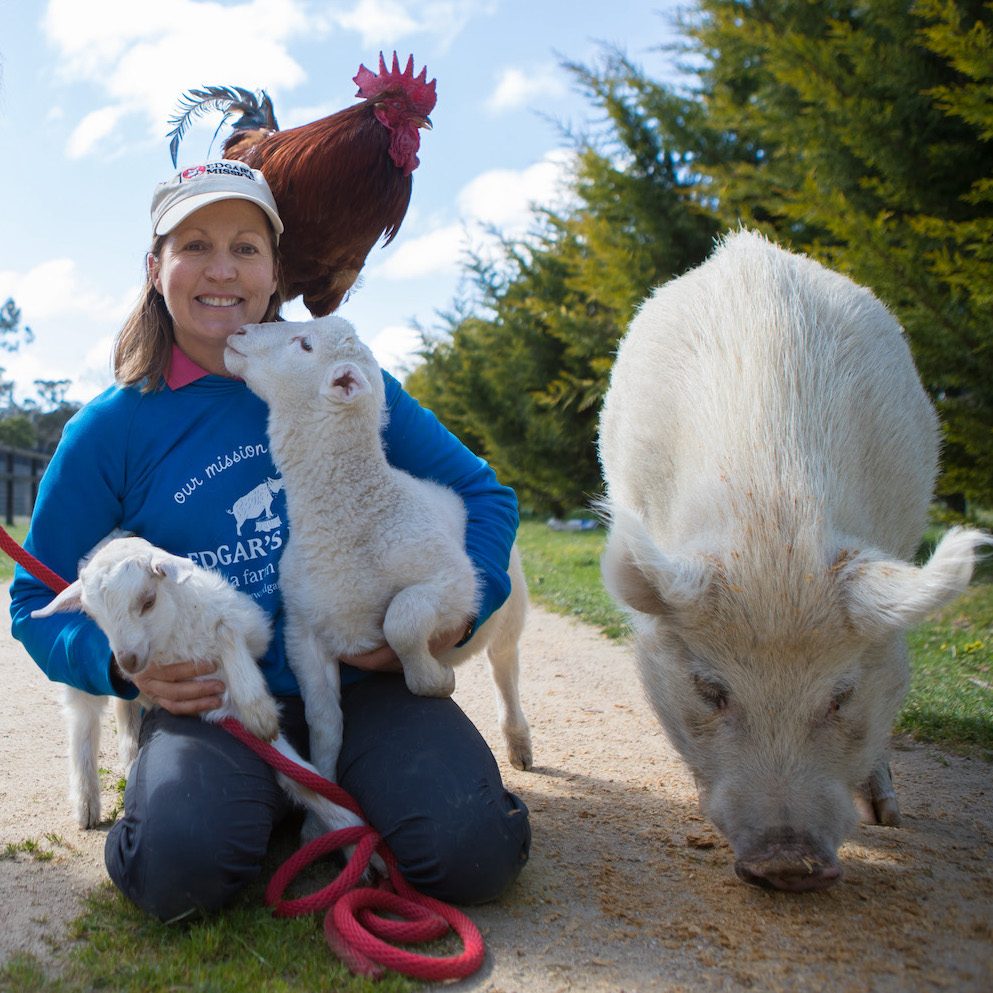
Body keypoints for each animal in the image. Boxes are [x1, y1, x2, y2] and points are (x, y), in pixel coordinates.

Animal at [31, 532, 366, 832]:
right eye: (93, 615)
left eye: (148, 601)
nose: (127, 662)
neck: (174, 638)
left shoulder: (249, 630)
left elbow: (301, 779)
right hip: (81, 687)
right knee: (83, 726)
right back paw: (86, 805)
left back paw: (128, 758)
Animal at [225, 314, 536, 796]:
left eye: (305, 344)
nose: (238, 331)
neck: (354, 514)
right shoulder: (304, 629)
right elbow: (325, 723)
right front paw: (325, 792)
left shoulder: (455, 586)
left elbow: (401, 620)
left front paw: (436, 680)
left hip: (509, 609)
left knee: (506, 669)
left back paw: (518, 740)